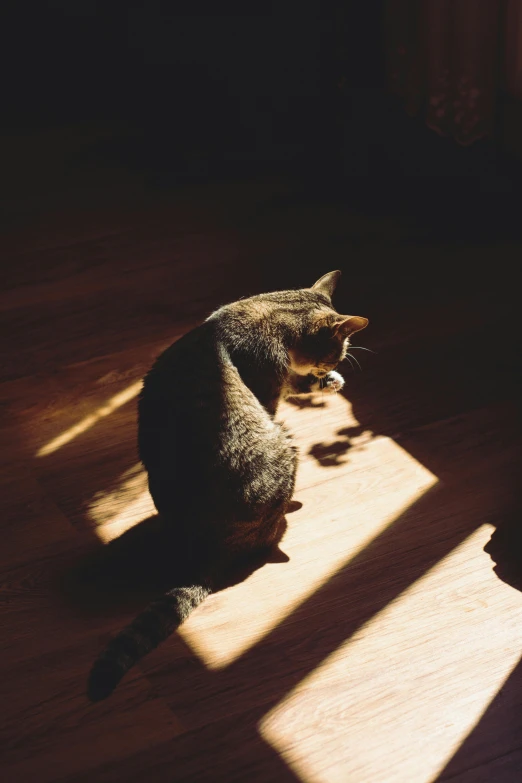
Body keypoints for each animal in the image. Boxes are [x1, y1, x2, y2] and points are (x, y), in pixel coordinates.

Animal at [86, 272, 366, 700]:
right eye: (334, 354)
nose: (332, 368)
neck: (271, 311)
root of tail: (209, 553)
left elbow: (297, 384)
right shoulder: (269, 391)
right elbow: (290, 386)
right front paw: (323, 382)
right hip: (285, 446)